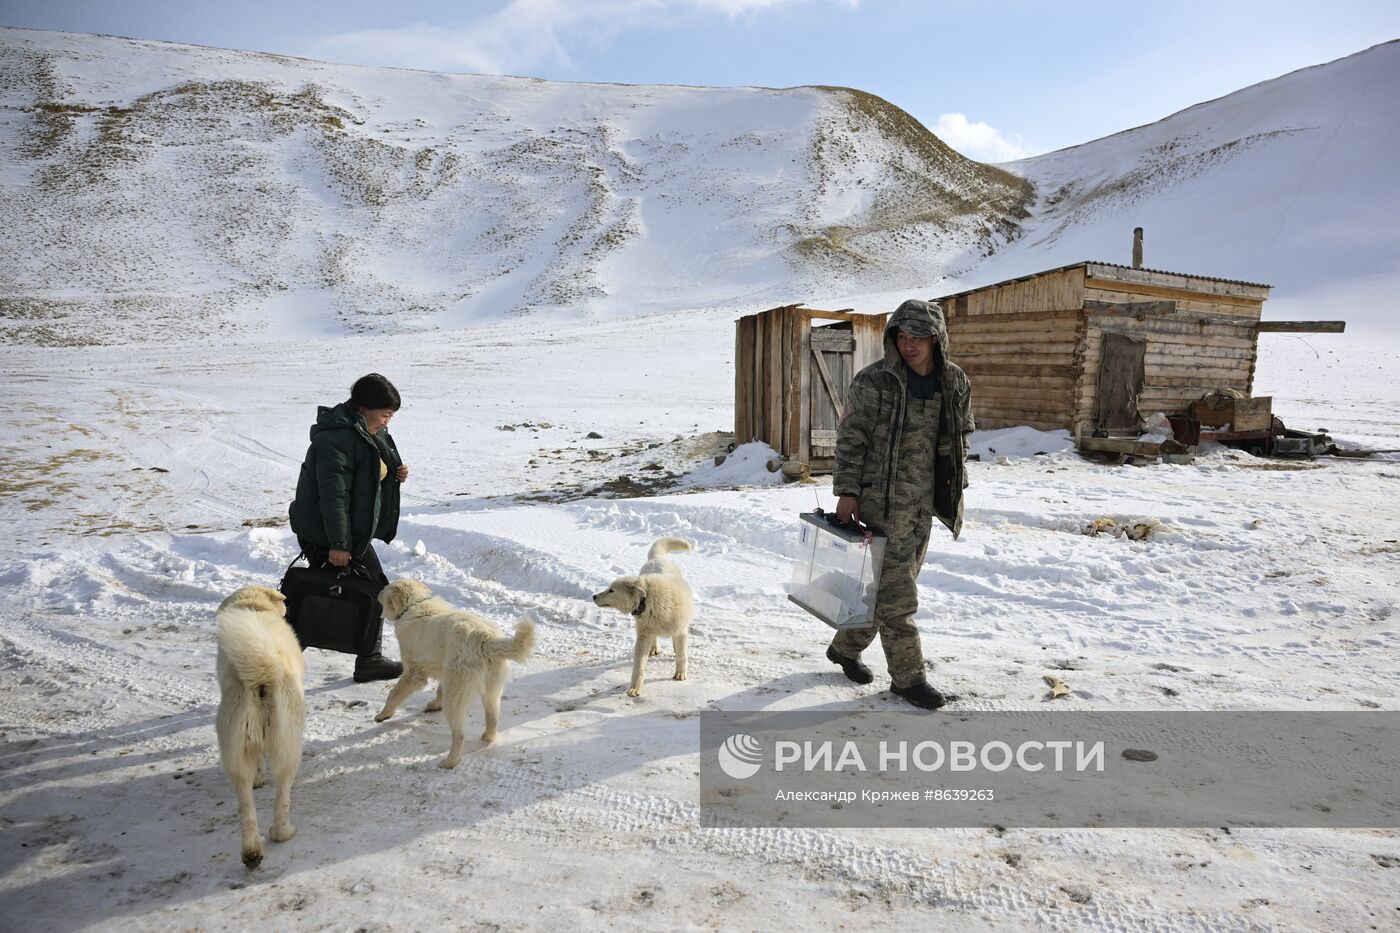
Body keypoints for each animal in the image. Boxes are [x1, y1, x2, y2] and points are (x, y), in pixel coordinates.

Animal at [214, 585, 305, 868]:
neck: (254, 605)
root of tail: (262, 675)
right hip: (288, 745)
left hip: (236, 748)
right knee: (283, 793)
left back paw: (252, 852)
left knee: (245, 805)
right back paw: (282, 833)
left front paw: (260, 777)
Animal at [372, 577, 534, 767]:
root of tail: (485, 639)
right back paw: (487, 737)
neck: (413, 605)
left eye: (384, 589)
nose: (377, 592)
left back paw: (450, 762)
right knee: (492, 719)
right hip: (490, 691)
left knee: (459, 735)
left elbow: (394, 693)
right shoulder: (444, 671)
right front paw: (435, 705)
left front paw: (383, 715)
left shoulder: (414, 673)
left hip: (455, 696)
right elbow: (439, 690)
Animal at [593, 535, 697, 694]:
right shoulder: (643, 637)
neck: (648, 600)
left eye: (611, 590)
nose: (593, 596)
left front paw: (680, 674)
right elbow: (639, 666)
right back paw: (653, 649)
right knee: (654, 638)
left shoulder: (681, 630)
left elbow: (681, 655)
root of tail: (657, 558)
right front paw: (634, 689)